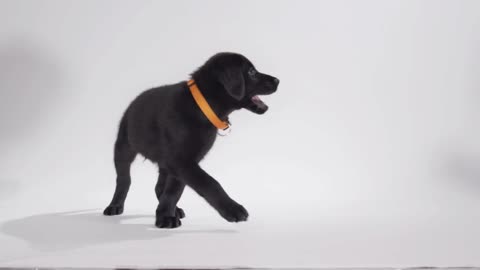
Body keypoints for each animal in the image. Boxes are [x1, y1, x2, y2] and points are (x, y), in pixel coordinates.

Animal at [103, 52, 280, 228]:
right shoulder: (180, 161)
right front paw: (233, 209)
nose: (278, 80)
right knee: (124, 180)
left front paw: (165, 214)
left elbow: (174, 190)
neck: (201, 107)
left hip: (163, 162)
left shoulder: (181, 163)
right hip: (123, 148)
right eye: (251, 72)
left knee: (159, 187)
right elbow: (209, 183)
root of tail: (133, 102)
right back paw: (115, 206)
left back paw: (175, 209)